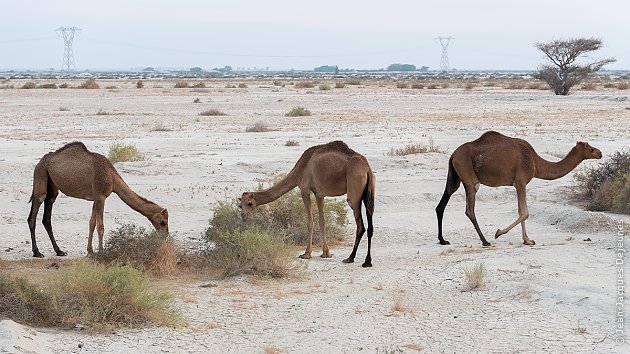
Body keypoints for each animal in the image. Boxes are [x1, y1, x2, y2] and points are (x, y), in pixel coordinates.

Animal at [27, 141, 168, 258]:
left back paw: (60, 251)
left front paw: (90, 252)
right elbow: (100, 226)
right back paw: (37, 252)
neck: (112, 178)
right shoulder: (101, 197)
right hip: (40, 175)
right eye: (163, 222)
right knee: (34, 213)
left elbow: (92, 223)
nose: (165, 235)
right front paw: (101, 252)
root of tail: (40, 161)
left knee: (47, 216)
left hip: (52, 186)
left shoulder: (96, 198)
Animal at [241, 140, 378, 266]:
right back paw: (367, 261)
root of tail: (367, 168)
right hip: (369, 192)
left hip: (354, 190)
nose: (243, 215)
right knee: (370, 223)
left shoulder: (305, 189)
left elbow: (310, 222)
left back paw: (350, 258)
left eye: (249, 203)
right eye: (240, 205)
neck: (300, 169)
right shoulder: (319, 193)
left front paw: (306, 254)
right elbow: (322, 222)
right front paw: (326, 253)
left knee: (360, 225)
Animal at [436, 131, 604, 248]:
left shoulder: (518, 184)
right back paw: (485, 241)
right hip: (468, 175)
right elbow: (525, 212)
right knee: (469, 209)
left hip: (456, 177)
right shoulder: (521, 181)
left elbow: (520, 211)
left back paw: (443, 240)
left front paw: (527, 240)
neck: (536, 162)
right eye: (590, 148)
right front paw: (499, 233)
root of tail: (453, 155)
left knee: (443, 202)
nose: (600, 152)